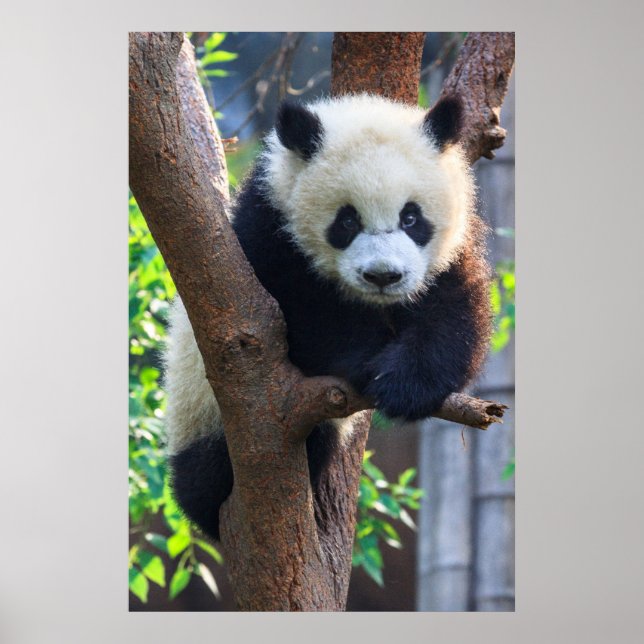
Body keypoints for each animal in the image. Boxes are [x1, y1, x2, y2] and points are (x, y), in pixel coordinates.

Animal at [163, 93, 491, 542]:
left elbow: (454, 312)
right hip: (199, 412)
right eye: (347, 220)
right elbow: (300, 316)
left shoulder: (451, 250)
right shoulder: (266, 233)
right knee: (209, 474)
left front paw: (405, 385)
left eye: (411, 217)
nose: (383, 275)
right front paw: (368, 363)